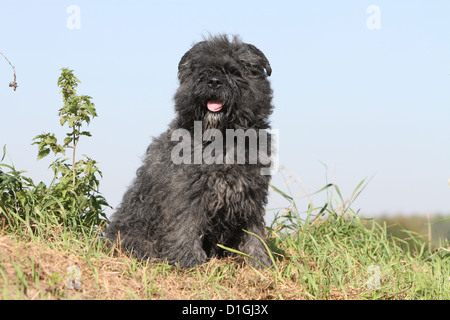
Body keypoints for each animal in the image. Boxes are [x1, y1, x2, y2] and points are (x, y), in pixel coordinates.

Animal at [106, 34, 274, 268]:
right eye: (201, 69)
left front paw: (259, 261)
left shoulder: (251, 193)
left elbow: (253, 231)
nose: (213, 82)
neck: (221, 139)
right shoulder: (186, 192)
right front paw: (189, 261)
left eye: (234, 70)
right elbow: (185, 226)